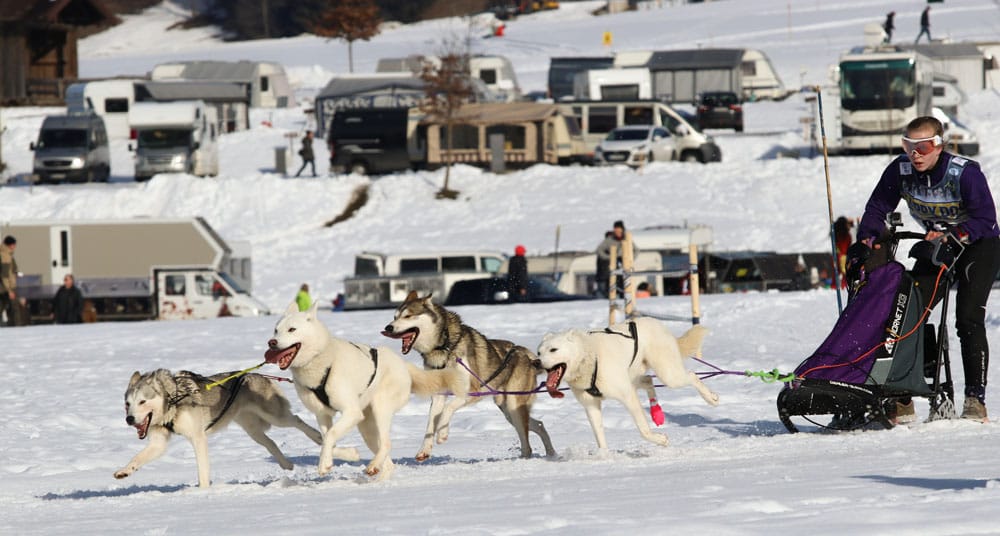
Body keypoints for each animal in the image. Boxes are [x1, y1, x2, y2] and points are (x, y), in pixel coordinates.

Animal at [115, 366, 322, 488]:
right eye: (127, 404)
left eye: (142, 401)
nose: (129, 419)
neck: (172, 400)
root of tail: (254, 374)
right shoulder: (158, 443)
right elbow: (137, 458)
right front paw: (125, 471)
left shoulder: (198, 438)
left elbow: (202, 469)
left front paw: (203, 490)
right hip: (252, 430)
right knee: (270, 443)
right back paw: (286, 464)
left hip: (276, 416)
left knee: (296, 420)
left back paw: (318, 436)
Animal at [536, 318, 716, 448]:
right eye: (539, 352)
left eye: (553, 350)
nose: (536, 362)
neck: (590, 357)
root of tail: (656, 323)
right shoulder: (591, 406)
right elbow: (600, 439)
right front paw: (606, 458)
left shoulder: (628, 396)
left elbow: (643, 428)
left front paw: (659, 439)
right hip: (634, 377)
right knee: (648, 380)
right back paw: (656, 412)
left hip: (669, 375)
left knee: (691, 375)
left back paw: (711, 398)